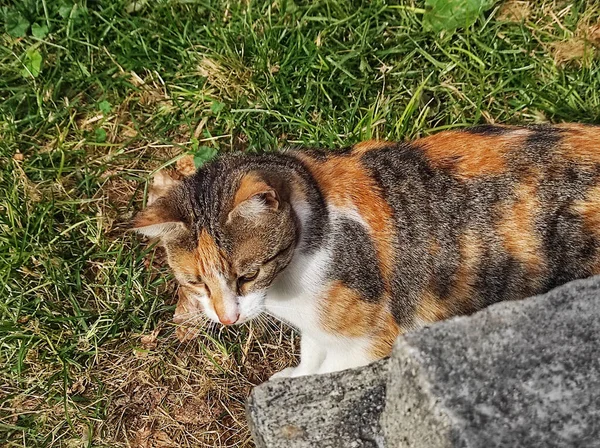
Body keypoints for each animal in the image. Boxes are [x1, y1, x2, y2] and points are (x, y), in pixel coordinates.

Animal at [132, 123, 600, 378]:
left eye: (248, 274)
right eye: (195, 282)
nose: (227, 318)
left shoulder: (373, 336)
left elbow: (333, 368)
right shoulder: (316, 328)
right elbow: (311, 355)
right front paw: (296, 374)